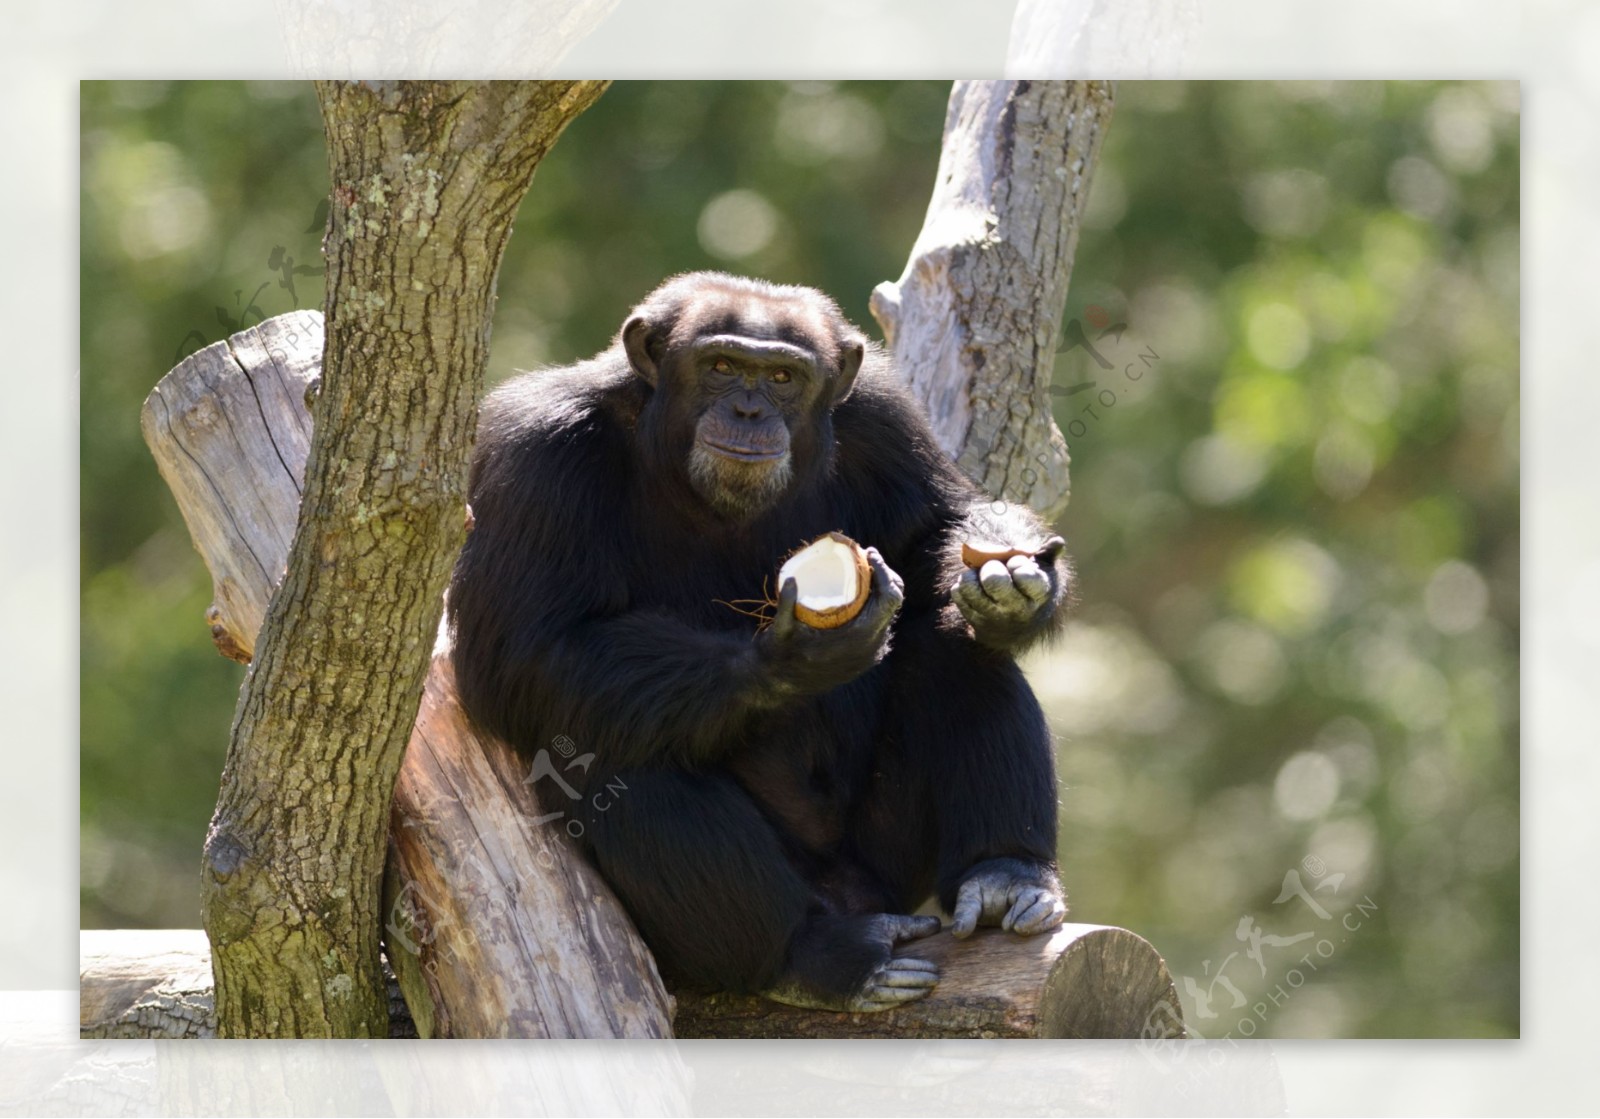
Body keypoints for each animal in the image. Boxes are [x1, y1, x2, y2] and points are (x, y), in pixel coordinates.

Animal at [451, 272, 1068, 1018]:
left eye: (781, 377)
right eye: (721, 365)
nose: (747, 410)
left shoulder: (887, 419)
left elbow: (933, 533)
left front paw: (1013, 581)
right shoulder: (537, 452)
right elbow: (521, 648)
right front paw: (788, 660)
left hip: (886, 869)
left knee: (953, 645)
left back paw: (1004, 871)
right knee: (609, 745)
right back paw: (817, 956)